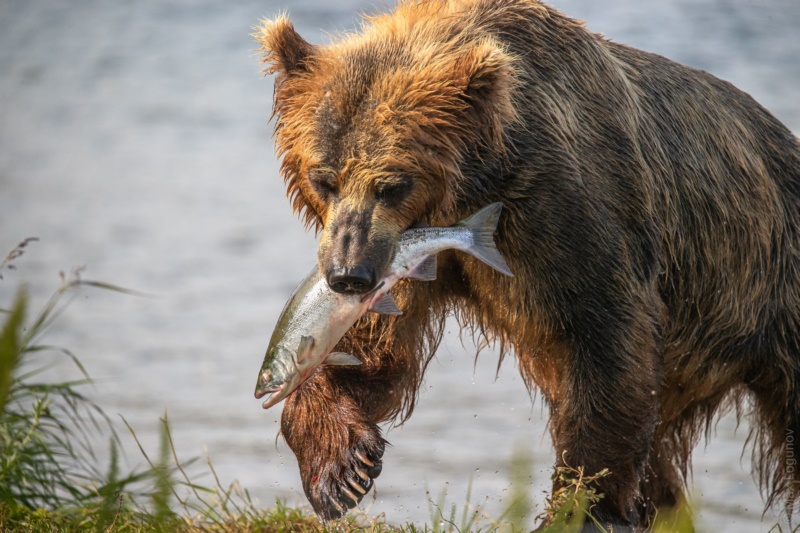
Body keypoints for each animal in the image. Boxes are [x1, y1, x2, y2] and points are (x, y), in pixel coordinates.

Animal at [255, 0, 800, 524]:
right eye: (323, 178)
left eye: (392, 184)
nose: (347, 275)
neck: (475, 184)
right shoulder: (413, 258)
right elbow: (378, 352)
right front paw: (341, 468)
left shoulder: (567, 215)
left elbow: (609, 343)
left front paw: (581, 508)